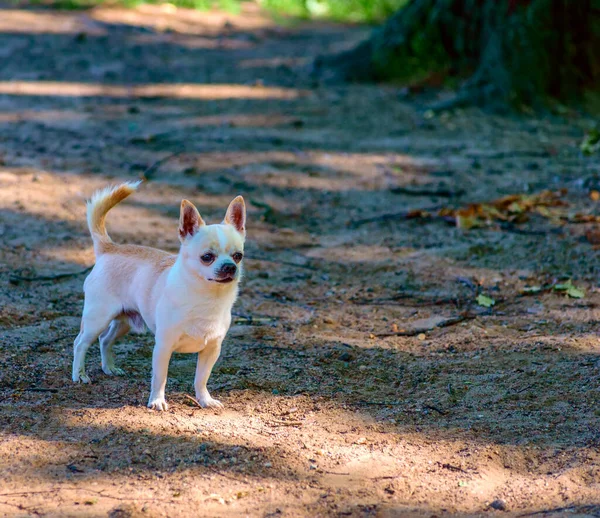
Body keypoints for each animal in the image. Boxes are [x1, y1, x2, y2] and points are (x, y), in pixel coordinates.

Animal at [71, 182, 245, 410]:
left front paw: (205, 400)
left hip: (124, 321)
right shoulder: (163, 347)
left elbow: (201, 378)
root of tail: (109, 247)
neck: (206, 299)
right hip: (97, 319)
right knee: (80, 343)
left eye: (238, 256)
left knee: (105, 340)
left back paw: (109, 368)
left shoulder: (211, 350)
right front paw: (157, 401)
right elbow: (160, 377)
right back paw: (79, 375)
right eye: (207, 257)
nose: (230, 267)